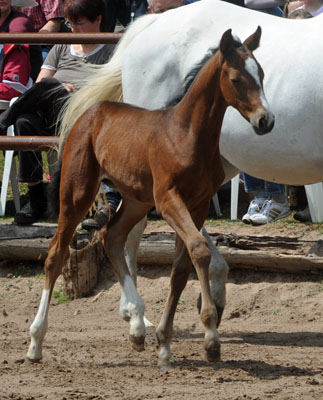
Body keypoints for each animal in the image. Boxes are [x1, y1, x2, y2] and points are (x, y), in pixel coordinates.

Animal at [28, 28, 276, 368]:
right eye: (237, 78)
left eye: (261, 74)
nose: (266, 120)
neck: (187, 135)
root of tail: (92, 112)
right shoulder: (169, 199)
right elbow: (199, 251)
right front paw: (211, 338)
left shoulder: (197, 204)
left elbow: (181, 269)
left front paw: (164, 343)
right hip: (77, 193)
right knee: (55, 254)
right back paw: (36, 342)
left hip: (137, 199)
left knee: (112, 236)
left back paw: (136, 325)